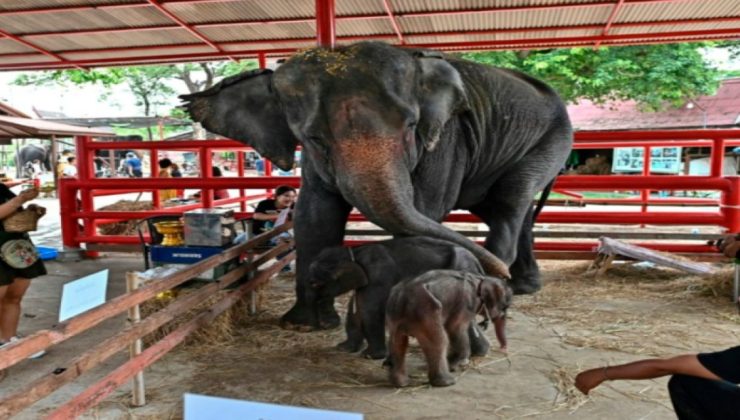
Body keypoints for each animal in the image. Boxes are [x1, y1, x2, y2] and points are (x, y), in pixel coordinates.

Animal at [182, 42, 576, 332]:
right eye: (314, 138)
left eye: (411, 126)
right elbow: (314, 216)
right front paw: (306, 325)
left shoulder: (445, 140)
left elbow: (424, 209)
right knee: (509, 209)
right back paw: (518, 286)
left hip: (552, 140)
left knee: (510, 202)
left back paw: (499, 288)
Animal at [308, 236, 488, 358]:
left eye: (316, 284)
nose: (321, 324)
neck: (354, 251)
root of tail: (477, 262)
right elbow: (356, 310)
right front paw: (343, 348)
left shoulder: (378, 277)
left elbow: (369, 310)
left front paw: (370, 356)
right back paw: (480, 353)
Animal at [384, 270, 512, 388]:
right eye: (505, 307)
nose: (503, 348)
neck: (481, 278)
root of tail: (402, 299)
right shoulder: (466, 302)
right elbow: (455, 327)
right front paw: (456, 364)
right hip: (426, 313)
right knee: (439, 341)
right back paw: (447, 382)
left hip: (395, 315)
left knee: (397, 343)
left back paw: (401, 383)